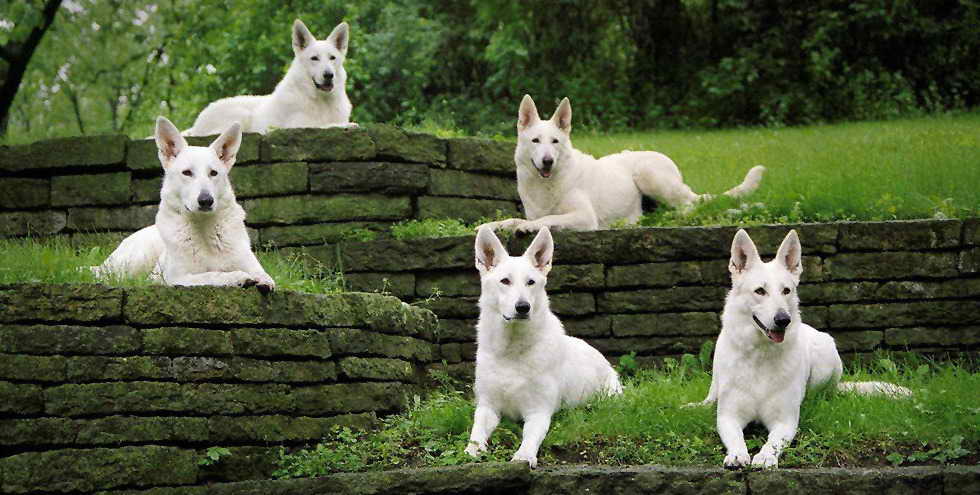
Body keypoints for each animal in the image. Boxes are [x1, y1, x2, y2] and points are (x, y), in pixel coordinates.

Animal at [93, 117, 276, 294]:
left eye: (213, 173)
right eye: (187, 173)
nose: (206, 200)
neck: (203, 227)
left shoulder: (252, 264)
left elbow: (265, 275)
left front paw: (260, 280)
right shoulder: (178, 278)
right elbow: (212, 274)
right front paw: (237, 277)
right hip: (134, 261)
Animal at [182, 19, 354, 136]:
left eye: (332, 58)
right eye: (314, 58)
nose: (329, 75)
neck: (321, 101)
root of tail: (196, 125)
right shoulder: (298, 125)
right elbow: (325, 125)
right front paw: (347, 125)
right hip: (241, 115)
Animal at [466, 228, 620, 468]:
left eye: (531, 282)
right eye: (505, 281)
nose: (523, 307)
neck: (512, 351)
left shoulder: (538, 412)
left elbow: (530, 437)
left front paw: (524, 455)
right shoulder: (487, 407)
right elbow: (477, 431)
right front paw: (472, 450)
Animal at [688, 231, 912, 470]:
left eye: (786, 290)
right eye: (760, 291)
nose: (783, 320)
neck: (761, 356)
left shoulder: (785, 420)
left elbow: (773, 442)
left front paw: (765, 456)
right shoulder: (728, 416)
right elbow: (735, 437)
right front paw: (738, 454)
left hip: (825, 355)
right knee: (711, 397)